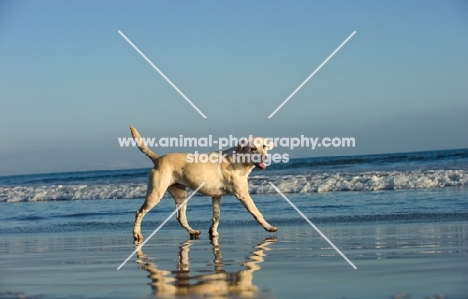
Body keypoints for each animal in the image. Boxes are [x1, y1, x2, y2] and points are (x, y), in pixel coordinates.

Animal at [129, 126, 274, 241]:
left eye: (264, 146)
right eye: (253, 148)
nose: (265, 157)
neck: (239, 159)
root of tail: (158, 158)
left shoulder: (216, 197)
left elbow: (216, 217)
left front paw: (213, 232)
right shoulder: (243, 195)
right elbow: (257, 213)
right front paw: (269, 227)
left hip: (181, 196)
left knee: (180, 217)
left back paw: (193, 232)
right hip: (156, 194)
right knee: (139, 212)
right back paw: (136, 234)